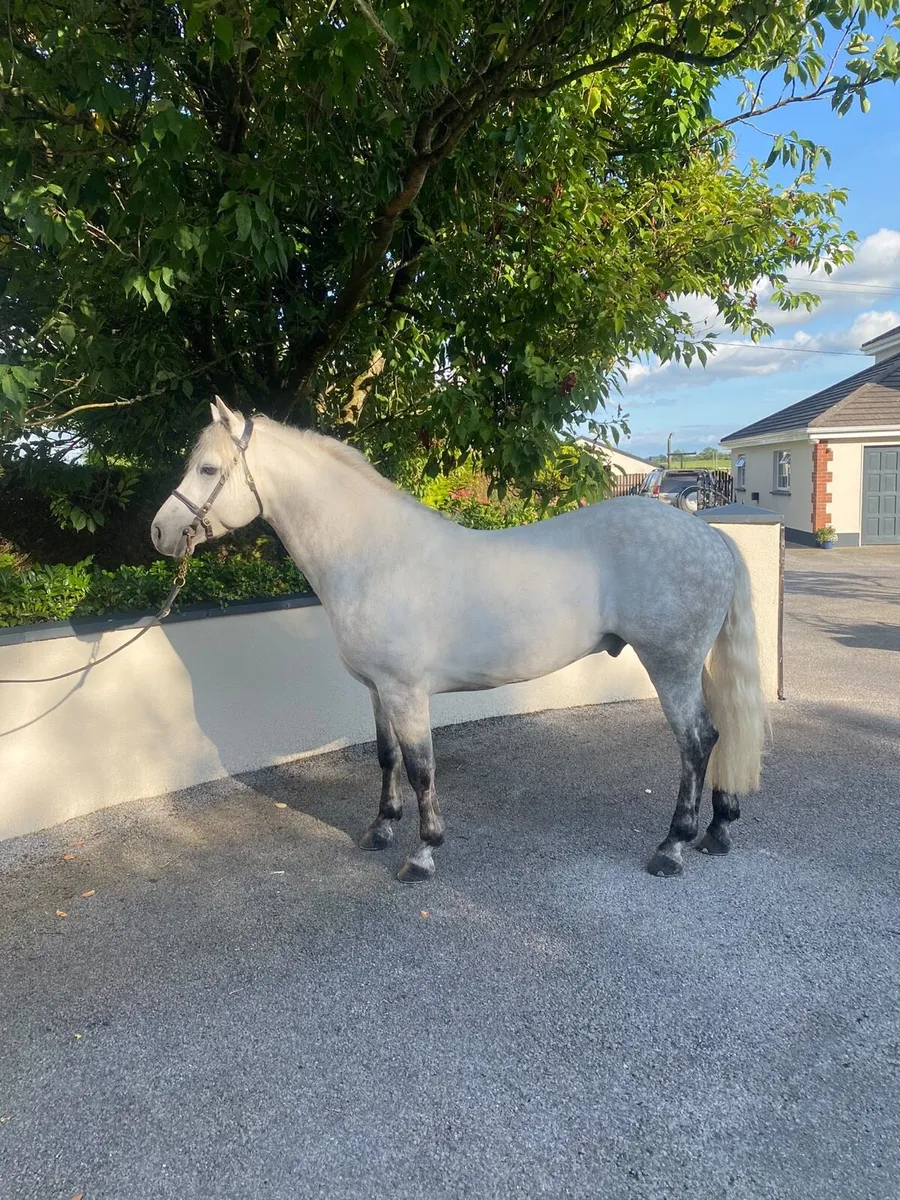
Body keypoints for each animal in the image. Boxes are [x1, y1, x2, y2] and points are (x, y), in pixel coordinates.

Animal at [151, 398, 766, 883]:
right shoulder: (379, 690)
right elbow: (386, 757)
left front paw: (423, 854)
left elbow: (421, 767)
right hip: (693, 666)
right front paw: (381, 830)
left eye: (208, 467)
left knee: (696, 743)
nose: (159, 532)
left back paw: (672, 846)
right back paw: (717, 830)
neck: (373, 555)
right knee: (720, 732)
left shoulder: (406, 692)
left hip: (670, 667)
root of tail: (709, 535)